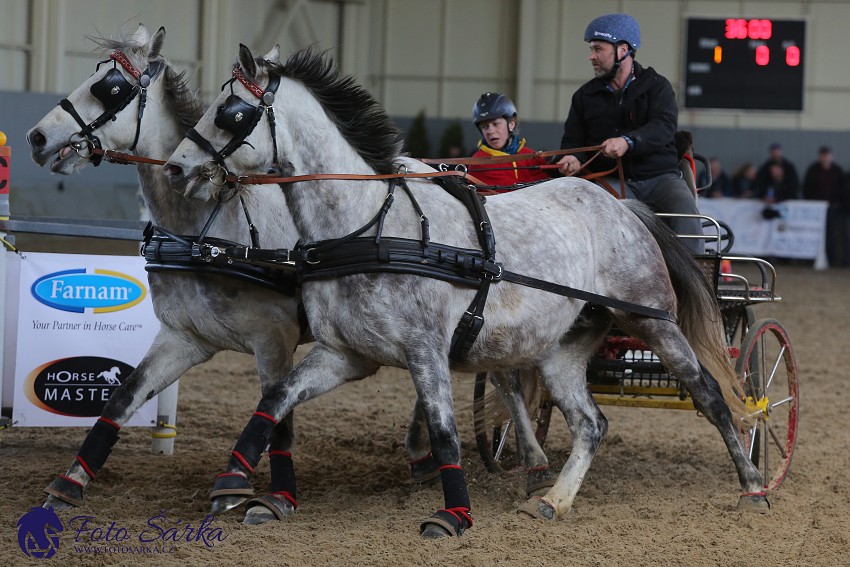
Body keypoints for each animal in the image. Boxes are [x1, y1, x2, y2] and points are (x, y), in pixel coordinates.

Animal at [164, 46, 768, 540]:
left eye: (231, 111)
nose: (174, 169)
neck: (369, 226)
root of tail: (619, 204)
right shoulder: (345, 354)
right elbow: (274, 400)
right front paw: (233, 480)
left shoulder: (426, 349)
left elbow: (444, 431)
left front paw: (452, 515)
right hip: (561, 349)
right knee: (590, 423)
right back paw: (552, 500)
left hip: (654, 321)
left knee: (712, 396)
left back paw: (753, 484)